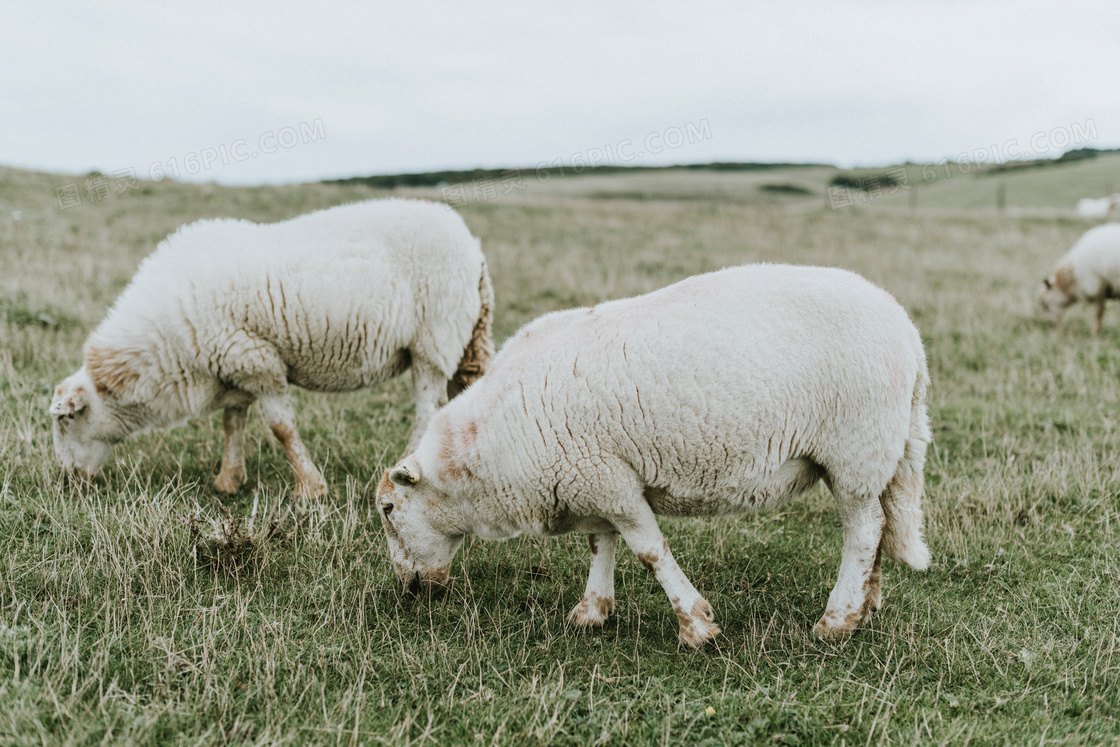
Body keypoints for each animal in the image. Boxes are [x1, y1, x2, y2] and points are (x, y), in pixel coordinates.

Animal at [47, 198, 495, 497]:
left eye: (66, 421)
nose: (67, 480)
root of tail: (472, 246)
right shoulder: (234, 365)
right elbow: (232, 423)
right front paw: (228, 481)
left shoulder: (257, 360)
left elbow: (281, 428)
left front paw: (310, 489)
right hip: (462, 339)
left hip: (434, 340)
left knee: (427, 409)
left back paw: (403, 464)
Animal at [374, 265, 927, 645]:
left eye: (388, 508)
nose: (409, 591)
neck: (485, 453)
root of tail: (907, 329)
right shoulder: (591, 475)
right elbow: (600, 543)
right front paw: (592, 612)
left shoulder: (609, 481)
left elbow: (649, 550)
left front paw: (696, 626)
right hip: (871, 455)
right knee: (878, 528)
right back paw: (864, 607)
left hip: (856, 449)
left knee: (863, 531)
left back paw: (836, 620)